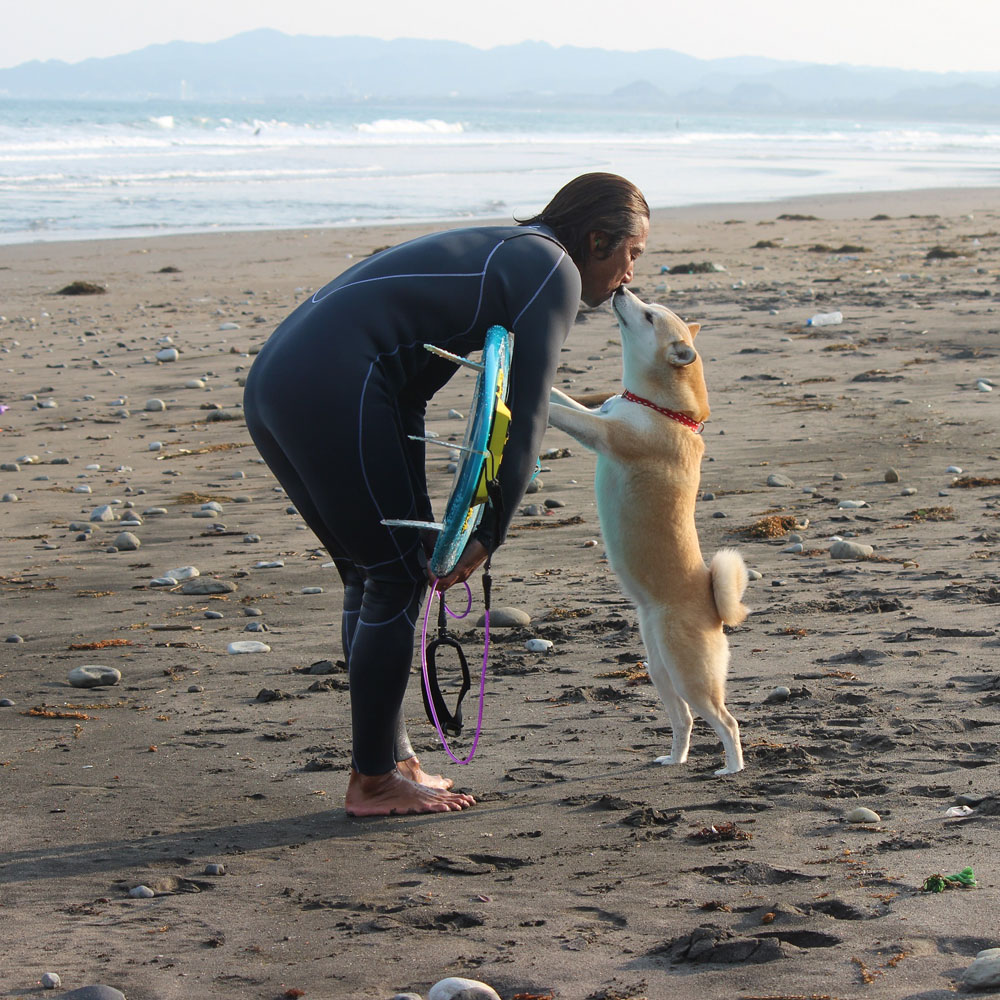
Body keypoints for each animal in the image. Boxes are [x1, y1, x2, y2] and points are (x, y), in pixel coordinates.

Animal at [548, 286, 752, 776]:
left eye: (648, 316)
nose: (621, 289)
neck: (666, 410)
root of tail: (714, 610)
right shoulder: (600, 415)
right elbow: (565, 399)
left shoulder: (603, 433)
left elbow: (564, 415)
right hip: (659, 670)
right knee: (685, 721)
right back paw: (674, 758)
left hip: (687, 674)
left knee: (726, 721)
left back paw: (732, 767)